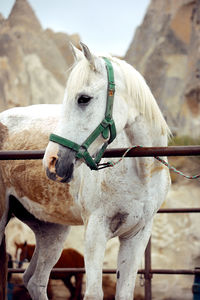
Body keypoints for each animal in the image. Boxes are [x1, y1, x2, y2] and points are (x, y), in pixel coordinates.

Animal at [0, 42, 170, 300]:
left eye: (83, 98)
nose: (52, 161)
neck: (140, 172)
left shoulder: (136, 236)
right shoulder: (95, 231)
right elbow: (93, 293)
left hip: (52, 232)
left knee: (35, 281)